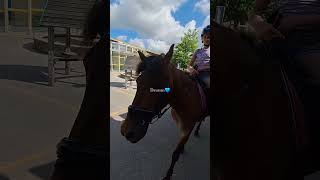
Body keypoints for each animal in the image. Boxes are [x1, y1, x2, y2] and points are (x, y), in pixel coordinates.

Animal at [121, 44, 209, 179]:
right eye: (137, 81)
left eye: (158, 86)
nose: (127, 131)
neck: (187, 97)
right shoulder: (184, 126)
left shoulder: (187, 126)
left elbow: (175, 154)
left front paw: (168, 175)